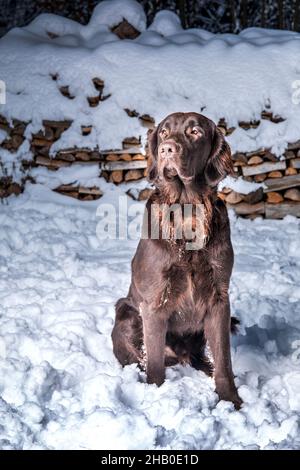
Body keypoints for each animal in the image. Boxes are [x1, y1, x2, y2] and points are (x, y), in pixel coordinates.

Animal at [111, 113, 243, 408]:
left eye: (195, 131)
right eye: (163, 132)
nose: (166, 149)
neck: (186, 211)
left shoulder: (219, 298)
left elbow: (225, 359)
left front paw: (230, 399)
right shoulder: (154, 303)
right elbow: (155, 363)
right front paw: (156, 397)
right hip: (126, 311)